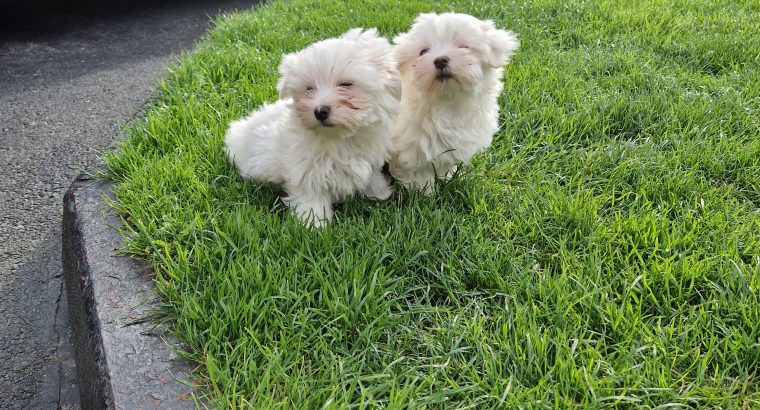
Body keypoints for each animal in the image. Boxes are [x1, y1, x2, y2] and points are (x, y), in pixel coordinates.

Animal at [224, 28, 400, 227]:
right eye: (309, 89)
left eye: (346, 84)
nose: (320, 111)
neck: (339, 138)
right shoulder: (305, 168)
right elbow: (311, 193)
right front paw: (314, 222)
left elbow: (371, 175)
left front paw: (379, 192)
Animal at [388, 12, 520, 192]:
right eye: (423, 52)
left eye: (464, 47)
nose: (440, 60)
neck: (447, 103)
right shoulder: (409, 149)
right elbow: (418, 173)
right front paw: (424, 191)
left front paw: (448, 177)